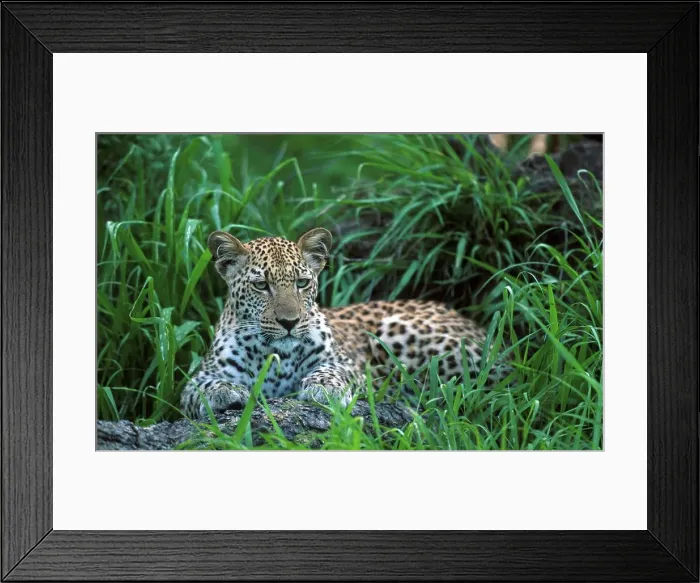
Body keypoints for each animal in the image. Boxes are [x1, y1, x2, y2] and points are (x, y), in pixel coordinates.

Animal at [180, 228, 504, 418]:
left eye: (302, 283)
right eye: (261, 286)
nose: (289, 322)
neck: (277, 355)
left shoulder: (349, 365)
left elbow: (332, 371)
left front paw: (323, 388)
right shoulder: (197, 380)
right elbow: (202, 387)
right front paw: (226, 392)